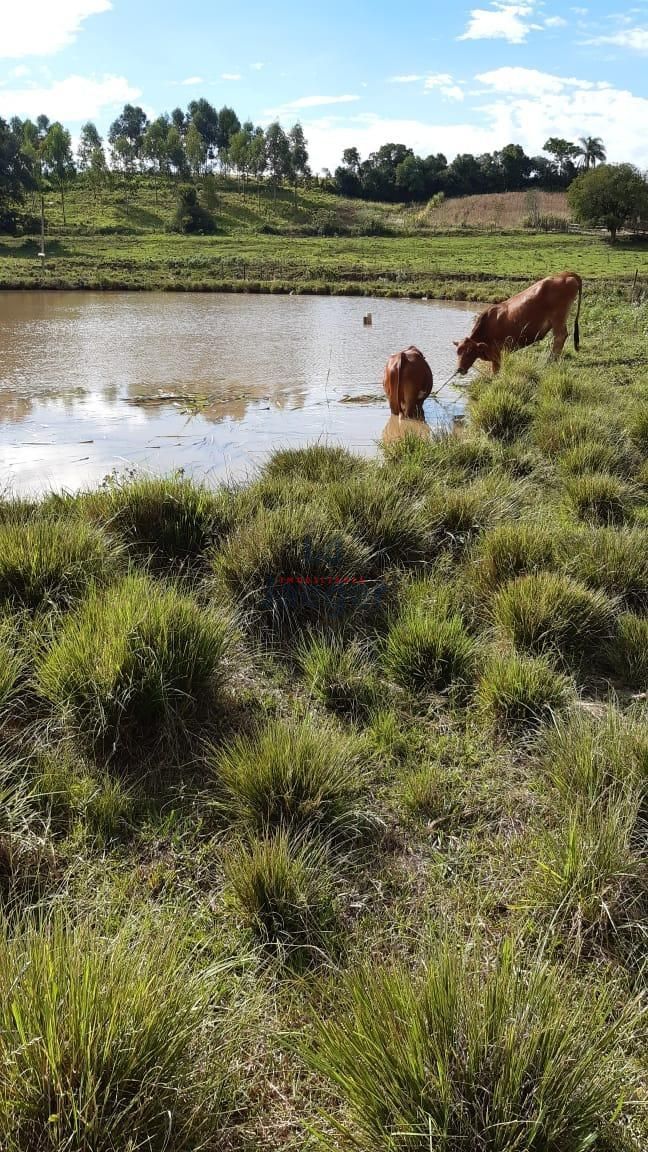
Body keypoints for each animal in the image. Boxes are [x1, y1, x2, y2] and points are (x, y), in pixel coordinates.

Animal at [451, 271, 583, 375]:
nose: (459, 369)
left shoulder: (497, 356)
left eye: (469, 352)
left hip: (558, 317)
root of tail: (565, 274)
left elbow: (495, 373)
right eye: (458, 352)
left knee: (560, 336)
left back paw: (550, 361)